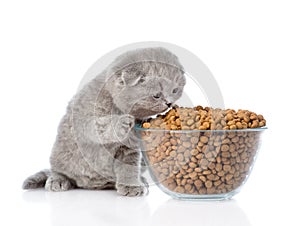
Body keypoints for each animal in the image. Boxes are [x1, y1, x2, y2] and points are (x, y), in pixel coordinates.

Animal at [23, 47, 186, 196]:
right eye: (156, 95)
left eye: (175, 90)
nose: (169, 103)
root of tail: (88, 184)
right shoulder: (83, 120)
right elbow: (99, 127)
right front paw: (121, 122)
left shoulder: (129, 148)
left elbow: (128, 168)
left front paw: (131, 186)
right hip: (60, 152)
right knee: (57, 169)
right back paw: (58, 180)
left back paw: (138, 181)